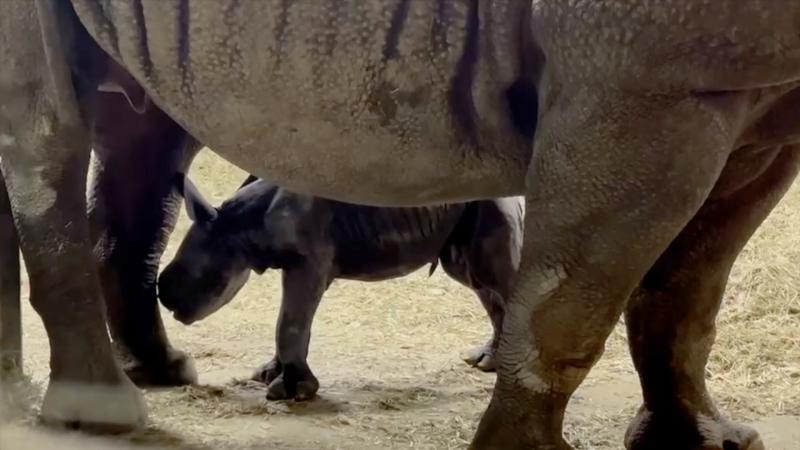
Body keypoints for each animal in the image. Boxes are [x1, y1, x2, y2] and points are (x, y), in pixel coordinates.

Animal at [159, 175, 520, 400]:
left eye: (201, 278)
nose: (164, 297)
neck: (239, 226)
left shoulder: (310, 262)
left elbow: (290, 323)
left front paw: (290, 393)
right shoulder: (294, 263)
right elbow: (289, 318)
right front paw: (268, 374)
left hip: (489, 203)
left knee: (492, 278)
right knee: (477, 281)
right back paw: (490, 363)